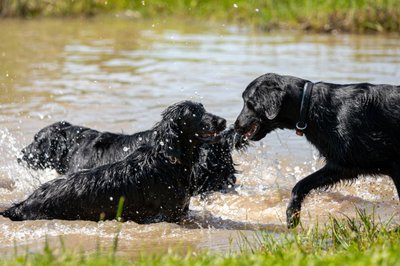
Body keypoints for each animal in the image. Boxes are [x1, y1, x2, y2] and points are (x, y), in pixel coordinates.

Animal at [234, 73, 400, 229]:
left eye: (248, 103)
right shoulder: (342, 165)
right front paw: (293, 214)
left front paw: (292, 214)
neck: (310, 107)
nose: (236, 126)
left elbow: (300, 184)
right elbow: (301, 184)